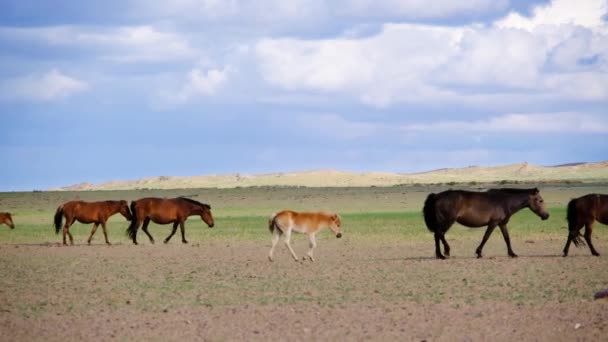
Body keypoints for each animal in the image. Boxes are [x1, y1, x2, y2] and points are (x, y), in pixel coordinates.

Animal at [422, 187, 552, 260]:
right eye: (540, 200)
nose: (547, 215)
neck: (504, 201)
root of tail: (436, 196)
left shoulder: (502, 224)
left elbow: (507, 239)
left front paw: (512, 254)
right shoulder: (493, 223)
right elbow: (486, 237)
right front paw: (479, 253)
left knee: (437, 235)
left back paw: (440, 254)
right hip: (447, 221)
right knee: (439, 234)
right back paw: (445, 253)